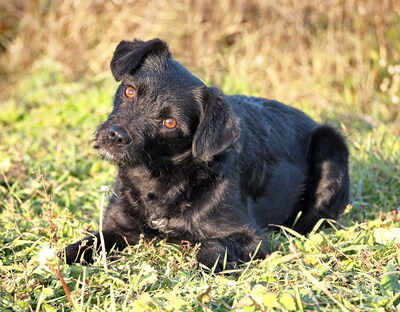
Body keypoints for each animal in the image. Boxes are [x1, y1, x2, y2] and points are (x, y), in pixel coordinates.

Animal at [64, 39, 348, 272]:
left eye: (170, 123)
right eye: (130, 91)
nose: (116, 136)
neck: (158, 179)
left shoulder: (250, 236)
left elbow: (211, 247)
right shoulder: (118, 228)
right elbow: (83, 245)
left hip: (330, 147)